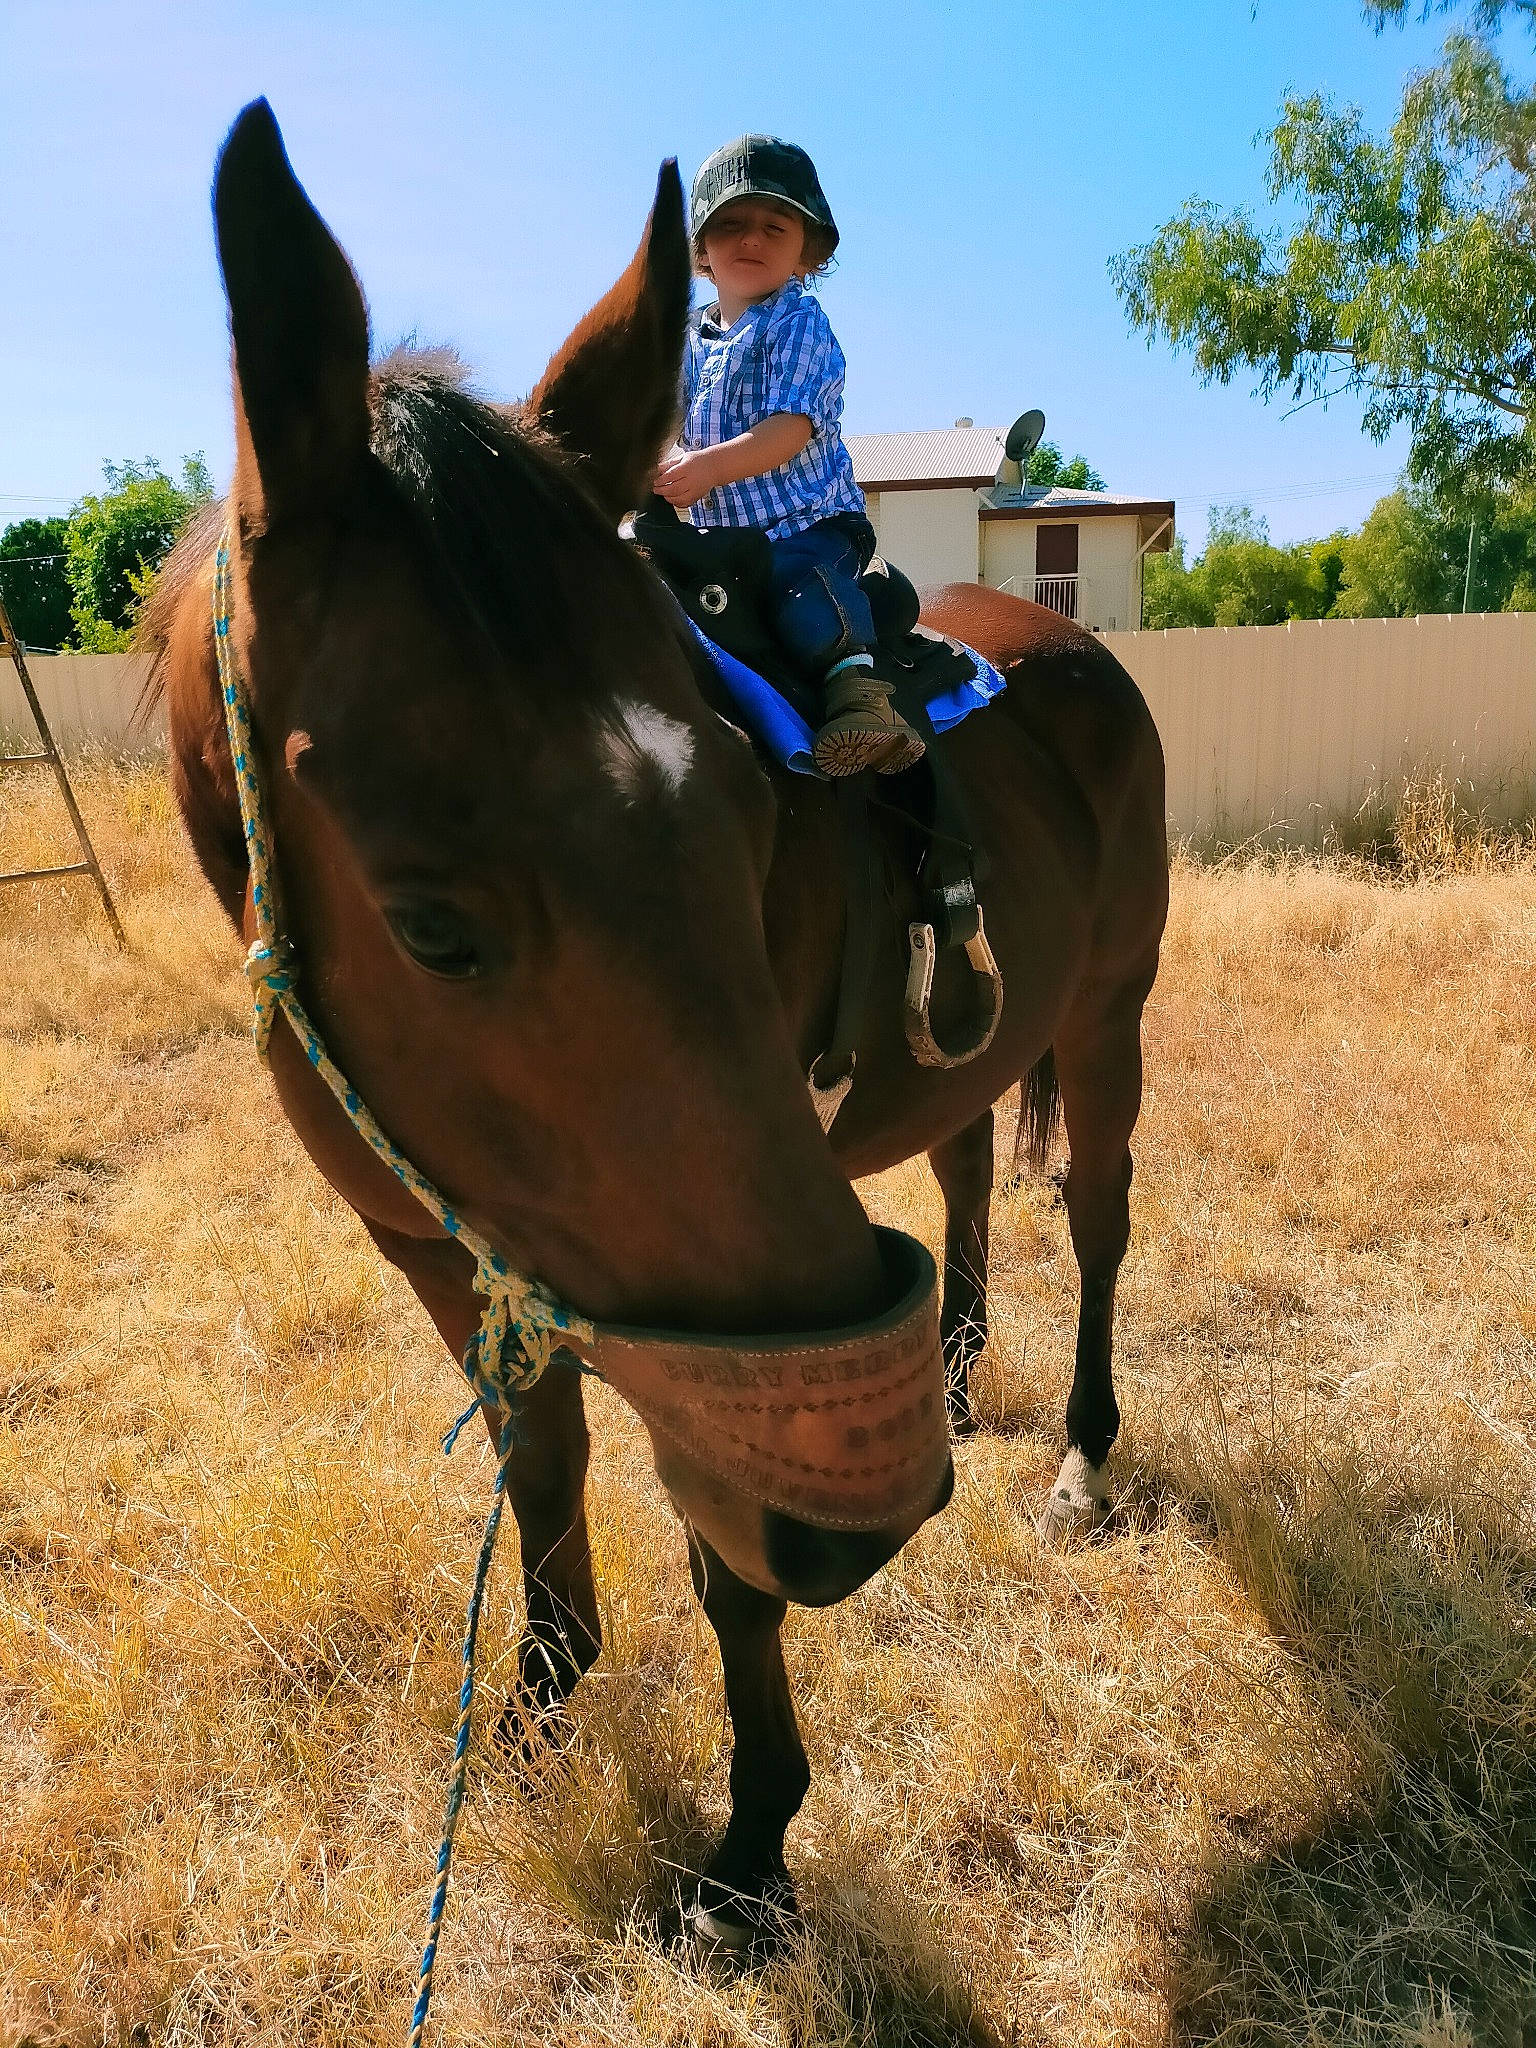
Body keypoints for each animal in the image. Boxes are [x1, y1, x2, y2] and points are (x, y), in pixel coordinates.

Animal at [145, 100, 1168, 1956]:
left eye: (742, 820)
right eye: (431, 924)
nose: (866, 1505)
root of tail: (1068, 644)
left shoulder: (696, 1323)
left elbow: (724, 1558)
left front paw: (753, 1840)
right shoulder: (452, 1244)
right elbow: (540, 1469)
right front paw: (540, 1712)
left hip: (1113, 1010)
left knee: (1102, 1216)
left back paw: (1078, 1454)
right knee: (969, 1166)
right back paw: (957, 1364)